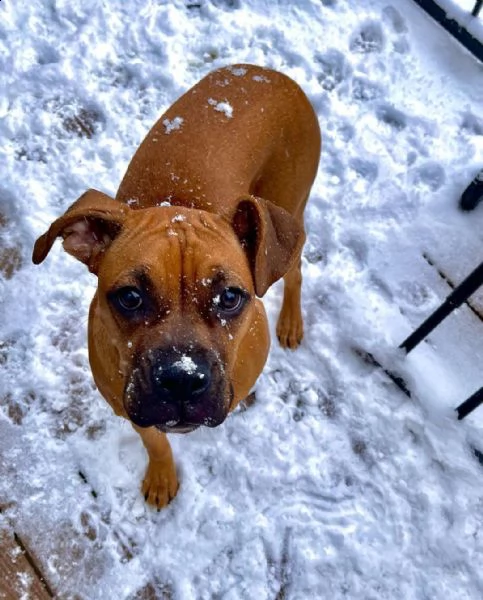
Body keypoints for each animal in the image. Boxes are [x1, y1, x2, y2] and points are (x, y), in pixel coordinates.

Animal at [31, 64, 322, 506]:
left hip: (289, 211)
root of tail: (271, 73)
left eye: (230, 297)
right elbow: (155, 441)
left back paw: (290, 320)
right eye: (130, 297)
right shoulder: (126, 403)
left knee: (295, 271)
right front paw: (162, 476)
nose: (182, 379)